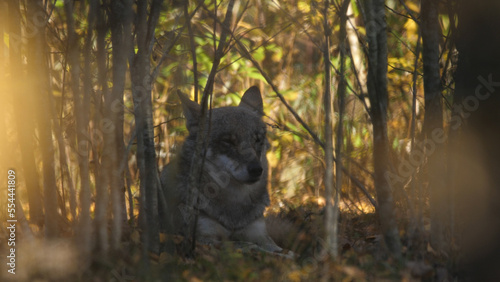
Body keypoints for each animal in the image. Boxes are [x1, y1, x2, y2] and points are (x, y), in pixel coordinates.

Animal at [160, 86, 282, 253]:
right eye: (228, 141)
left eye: (257, 140)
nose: (257, 169)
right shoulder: (202, 239)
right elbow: (247, 246)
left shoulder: (260, 235)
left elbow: (279, 250)